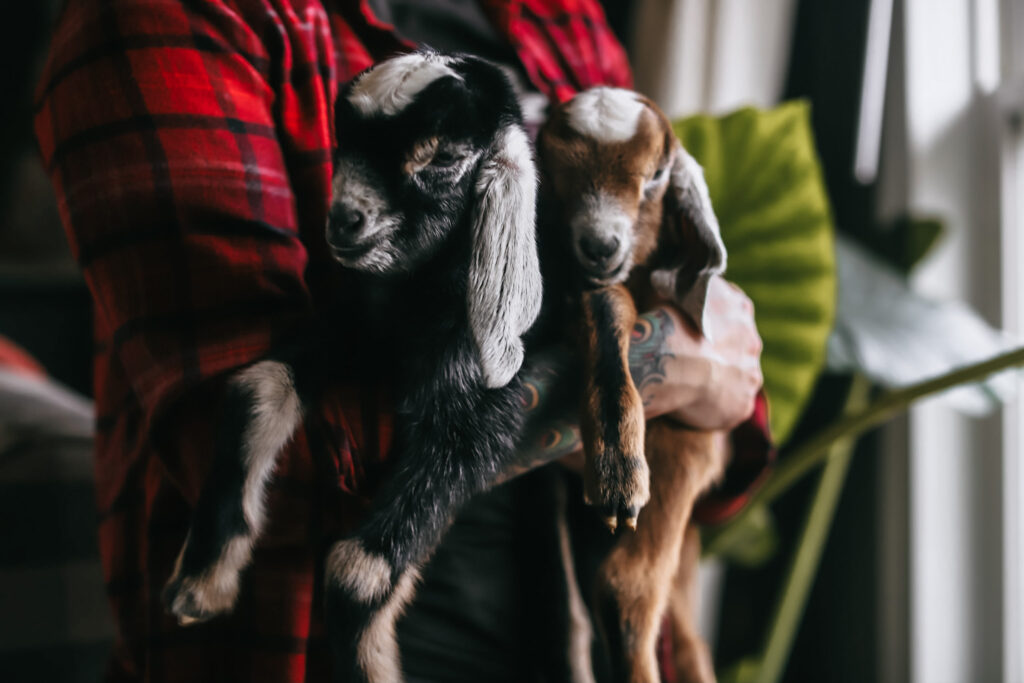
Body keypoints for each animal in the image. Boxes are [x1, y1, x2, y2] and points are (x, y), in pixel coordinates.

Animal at [540, 87, 733, 683]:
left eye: (657, 176)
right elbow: (606, 305)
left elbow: (628, 586)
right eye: (553, 172)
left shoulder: (692, 445)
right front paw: (616, 465)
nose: (601, 244)